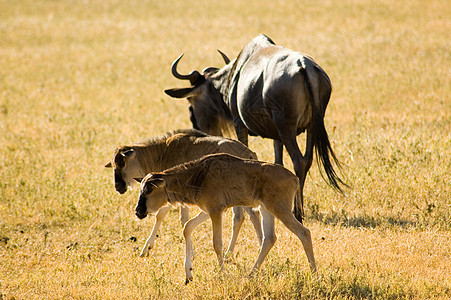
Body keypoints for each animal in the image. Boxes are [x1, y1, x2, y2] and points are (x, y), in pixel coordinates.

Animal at [136, 154, 316, 282]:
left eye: (149, 190)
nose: (138, 212)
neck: (197, 176)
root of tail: (295, 178)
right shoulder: (208, 210)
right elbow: (187, 227)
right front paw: (188, 274)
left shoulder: (216, 211)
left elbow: (217, 243)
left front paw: (222, 273)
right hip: (266, 210)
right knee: (269, 238)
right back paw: (251, 274)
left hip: (280, 210)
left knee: (304, 232)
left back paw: (314, 273)